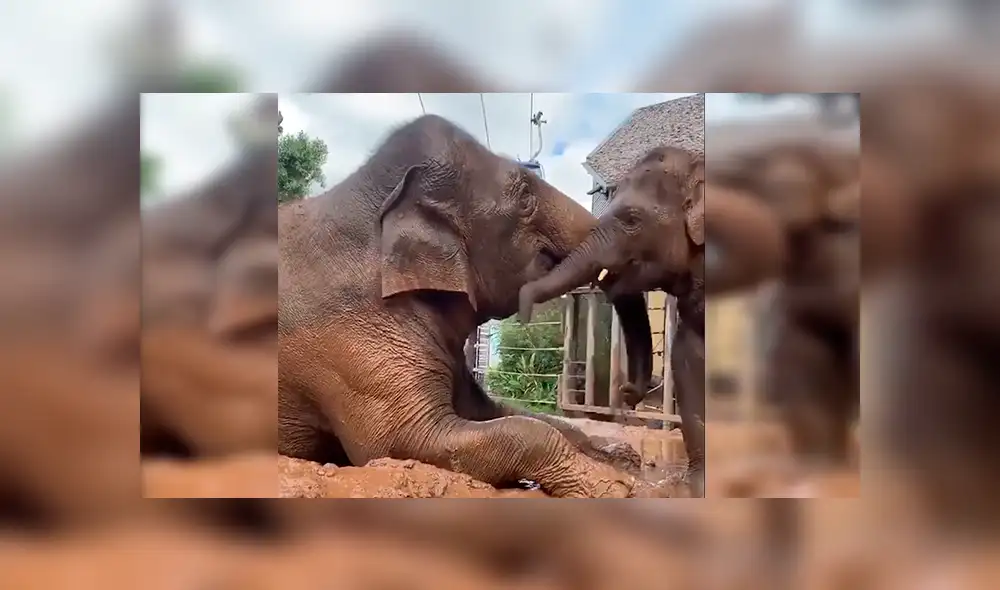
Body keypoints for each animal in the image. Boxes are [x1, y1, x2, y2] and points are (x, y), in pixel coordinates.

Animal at [278, 114, 656, 498]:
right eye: (525, 196)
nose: (628, 393)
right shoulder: (347, 342)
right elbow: (400, 440)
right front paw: (615, 489)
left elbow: (508, 413)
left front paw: (622, 459)